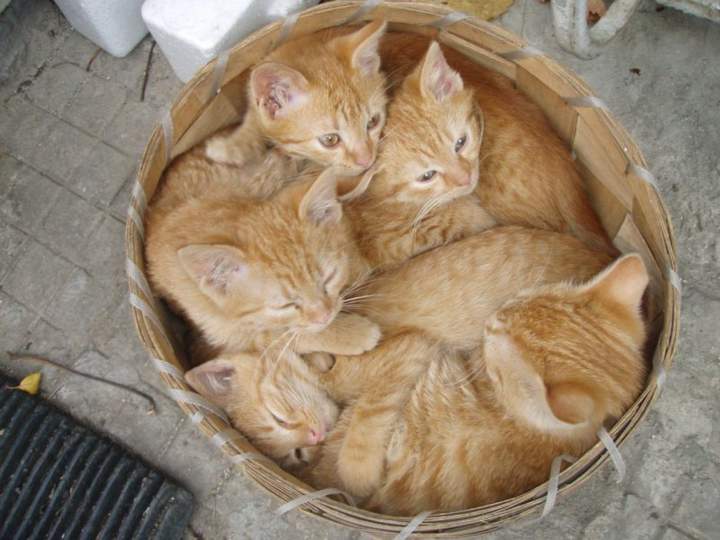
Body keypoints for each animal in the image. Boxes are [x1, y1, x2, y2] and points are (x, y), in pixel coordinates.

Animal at [145, 166, 381, 358]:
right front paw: (349, 333)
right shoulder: (225, 330)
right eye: (285, 305)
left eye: (328, 278)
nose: (325, 316)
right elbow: (283, 336)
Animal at [205, 20, 388, 178]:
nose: (367, 161)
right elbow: (253, 121)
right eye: (330, 140)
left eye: (373, 121)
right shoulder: (254, 98)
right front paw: (230, 148)